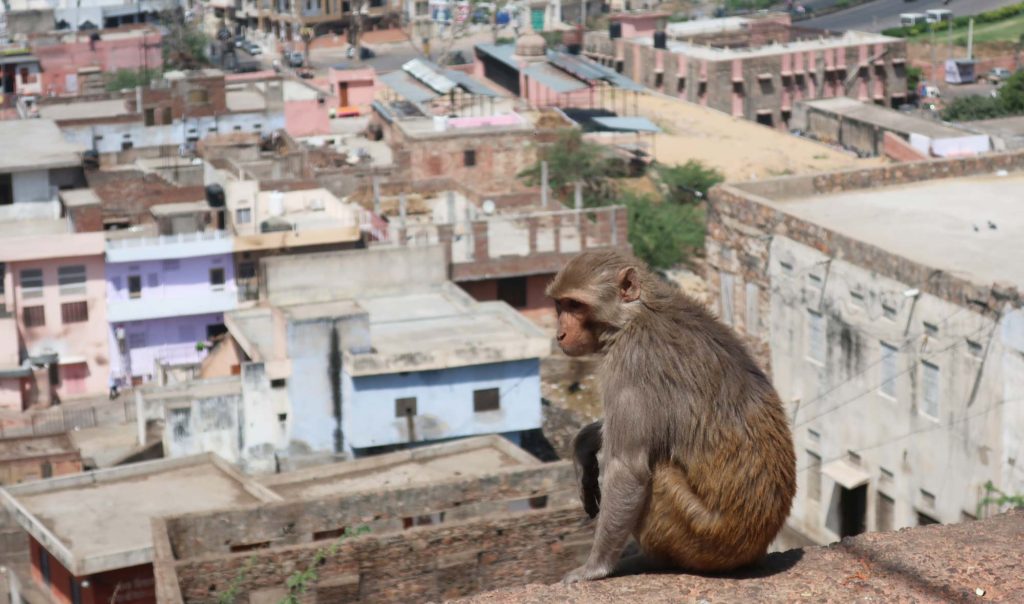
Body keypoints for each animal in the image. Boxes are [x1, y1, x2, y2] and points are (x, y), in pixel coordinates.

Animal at [547, 249, 796, 583]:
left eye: (575, 305)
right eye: (560, 305)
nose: (560, 334)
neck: (634, 315)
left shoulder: (631, 361)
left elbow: (628, 469)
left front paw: (594, 567)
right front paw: (584, 444)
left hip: (703, 534)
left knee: (659, 474)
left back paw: (650, 561)